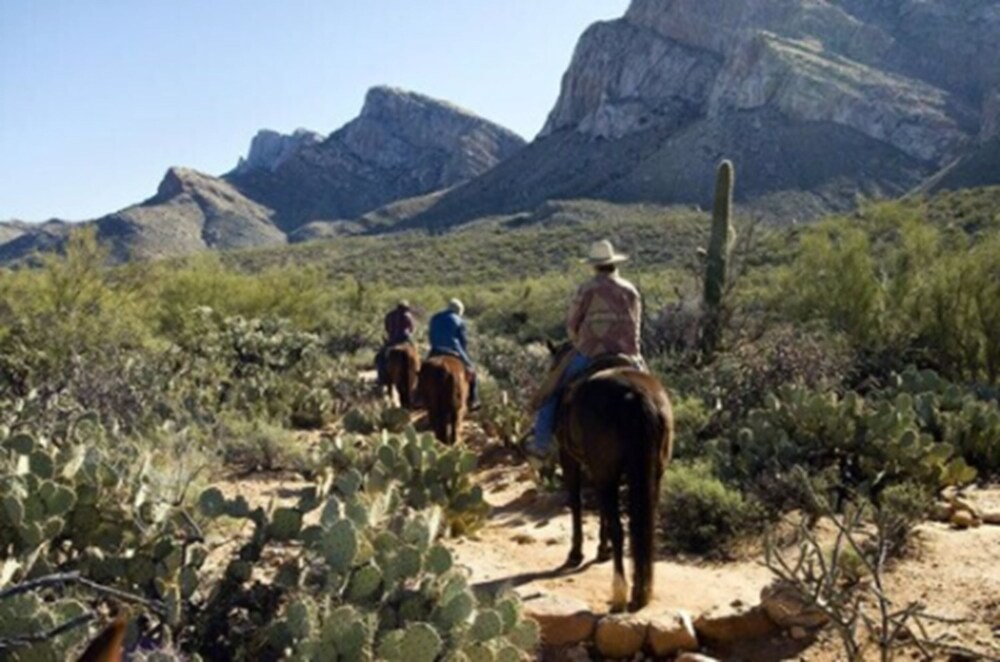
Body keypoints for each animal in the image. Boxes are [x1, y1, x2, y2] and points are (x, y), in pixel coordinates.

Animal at [552, 344, 676, 616]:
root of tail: (638, 395)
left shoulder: (571, 459)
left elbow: (576, 504)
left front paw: (576, 553)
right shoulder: (600, 471)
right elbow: (602, 512)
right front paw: (602, 549)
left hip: (605, 470)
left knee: (620, 529)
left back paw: (619, 594)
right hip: (654, 473)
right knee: (644, 528)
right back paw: (642, 592)